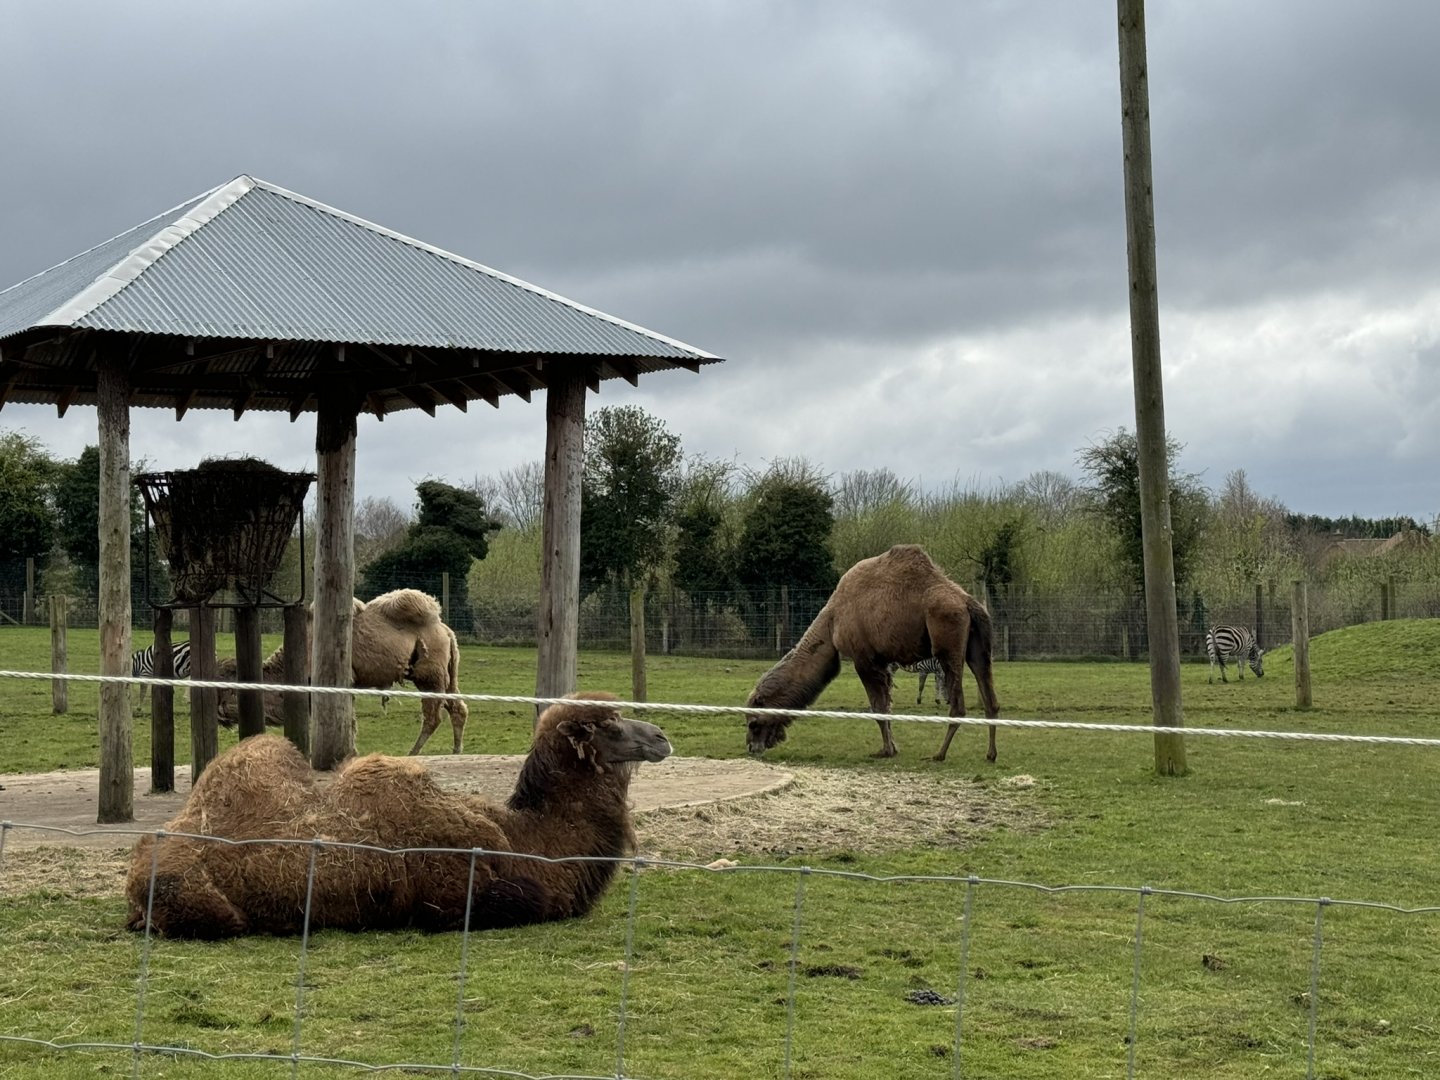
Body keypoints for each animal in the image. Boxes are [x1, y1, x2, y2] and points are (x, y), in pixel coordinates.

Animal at [124, 692, 672, 939]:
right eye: (612, 728)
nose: (662, 736)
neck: (537, 843)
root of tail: (138, 874)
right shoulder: (479, 896)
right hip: (216, 911)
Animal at [217, 588, 468, 754]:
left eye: (226, 689)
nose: (219, 713)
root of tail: (445, 630)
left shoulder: (342, 683)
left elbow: (349, 723)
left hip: (429, 675)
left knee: (433, 717)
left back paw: (412, 754)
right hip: (445, 674)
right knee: (457, 708)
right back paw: (456, 751)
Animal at [744, 545, 1000, 762]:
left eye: (753, 723)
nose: (751, 747)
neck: (832, 620)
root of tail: (968, 602)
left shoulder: (864, 658)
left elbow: (878, 707)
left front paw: (886, 751)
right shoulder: (884, 662)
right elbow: (887, 705)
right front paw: (892, 747)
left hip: (947, 642)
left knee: (958, 704)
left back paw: (939, 754)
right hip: (978, 647)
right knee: (990, 698)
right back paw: (990, 754)